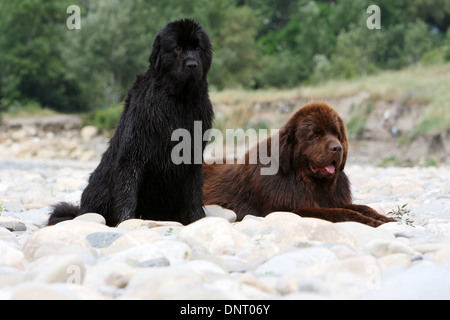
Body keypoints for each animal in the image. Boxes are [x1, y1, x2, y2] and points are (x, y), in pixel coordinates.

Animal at [48, 18, 214, 226]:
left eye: (198, 48)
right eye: (176, 48)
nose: (192, 64)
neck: (178, 100)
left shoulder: (193, 152)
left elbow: (194, 192)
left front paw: (198, 219)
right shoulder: (134, 152)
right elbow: (128, 191)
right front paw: (126, 221)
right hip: (100, 186)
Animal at [202, 101, 396, 226]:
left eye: (337, 134)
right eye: (315, 135)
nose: (337, 148)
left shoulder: (334, 199)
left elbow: (363, 207)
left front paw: (383, 218)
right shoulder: (293, 209)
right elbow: (342, 212)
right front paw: (370, 221)